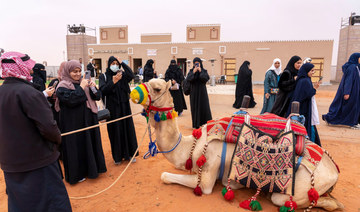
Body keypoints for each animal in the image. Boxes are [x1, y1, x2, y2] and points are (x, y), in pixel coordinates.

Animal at [130, 79, 344, 210]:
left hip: (304, 186)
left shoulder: (208, 172)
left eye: (157, 88)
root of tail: (334, 170)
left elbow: (166, 176)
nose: (133, 92)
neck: (192, 144)